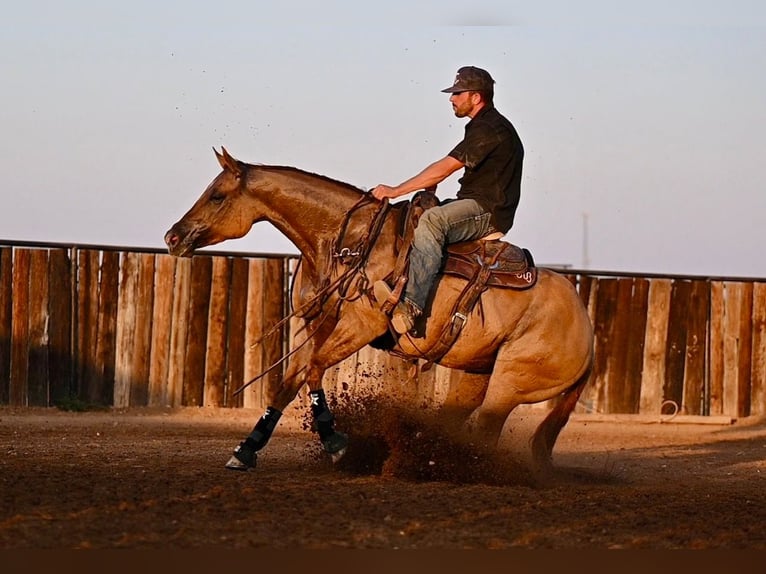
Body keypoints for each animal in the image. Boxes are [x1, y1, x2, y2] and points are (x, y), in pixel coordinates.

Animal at [165, 147, 596, 476]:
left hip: (510, 383)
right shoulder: (315, 324)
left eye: (217, 195)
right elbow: (288, 383)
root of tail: (587, 334)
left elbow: (314, 370)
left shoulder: (360, 327)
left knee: (488, 429)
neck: (346, 243)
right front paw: (245, 450)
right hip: (475, 376)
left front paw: (337, 444)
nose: (173, 236)